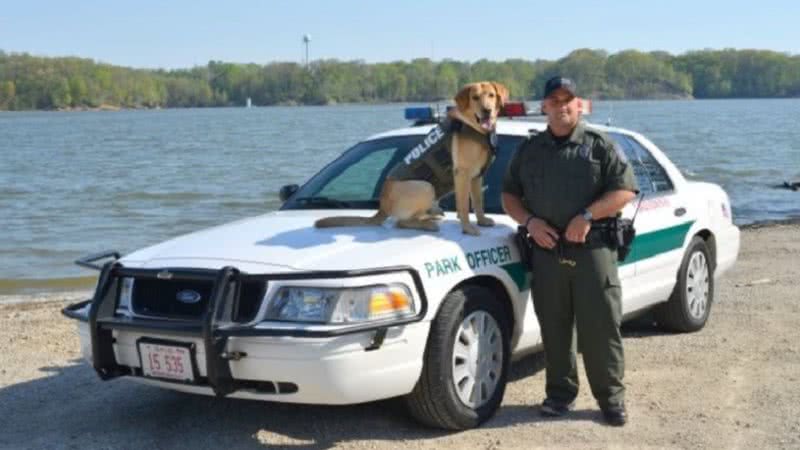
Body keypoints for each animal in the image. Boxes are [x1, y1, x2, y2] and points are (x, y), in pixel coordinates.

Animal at [316, 81, 510, 236]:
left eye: (491, 95)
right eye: (475, 97)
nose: (487, 110)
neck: (476, 127)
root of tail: (382, 207)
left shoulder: (476, 176)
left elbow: (477, 202)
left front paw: (482, 220)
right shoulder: (462, 174)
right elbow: (463, 206)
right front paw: (467, 228)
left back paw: (431, 215)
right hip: (426, 187)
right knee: (400, 222)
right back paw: (428, 224)